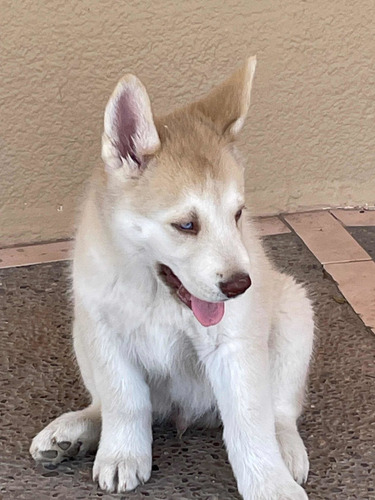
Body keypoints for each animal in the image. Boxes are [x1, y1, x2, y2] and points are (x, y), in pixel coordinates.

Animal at [31, 56, 314, 498]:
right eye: (186, 225)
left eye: (237, 214)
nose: (239, 286)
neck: (155, 293)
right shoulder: (104, 334)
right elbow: (124, 402)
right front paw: (123, 454)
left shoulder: (233, 348)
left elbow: (251, 423)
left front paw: (271, 485)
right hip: (81, 334)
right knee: (106, 405)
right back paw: (74, 431)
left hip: (294, 311)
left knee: (280, 410)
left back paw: (286, 447)